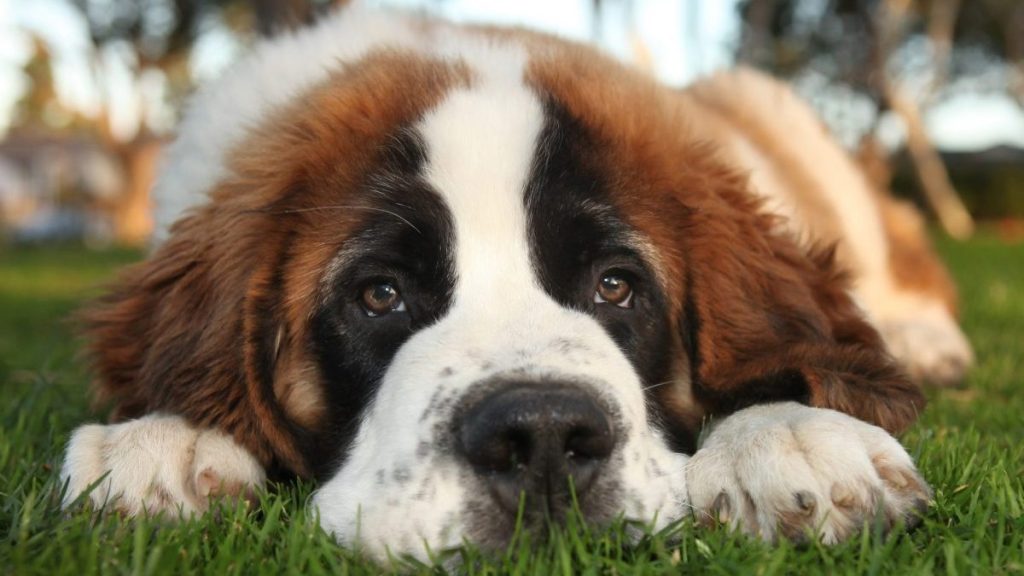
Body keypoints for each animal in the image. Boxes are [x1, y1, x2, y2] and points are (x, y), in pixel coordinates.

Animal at [59, 3, 970, 561]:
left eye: (615, 287)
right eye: (380, 294)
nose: (541, 436)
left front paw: (786, 434)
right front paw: (161, 441)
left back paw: (928, 341)